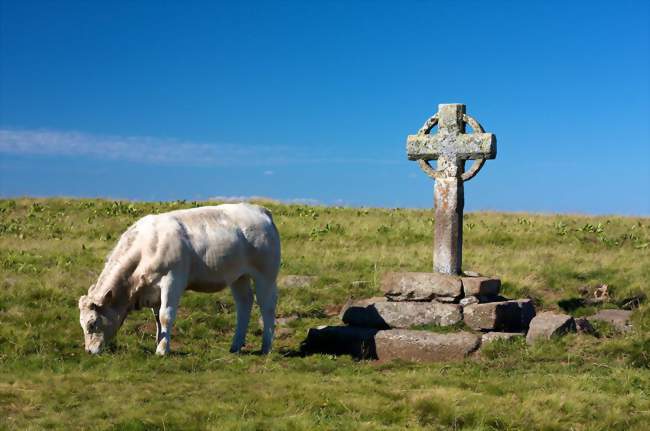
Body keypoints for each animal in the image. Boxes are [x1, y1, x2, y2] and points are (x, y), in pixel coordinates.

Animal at [77, 204, 280, 356]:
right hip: (238, 276)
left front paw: (162, 350)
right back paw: (236, 345)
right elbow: (157, 318)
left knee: (267, 306)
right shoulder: (153, 290)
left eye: (92, 323)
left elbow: (166, 315)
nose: (89, 351)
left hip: (266, 274)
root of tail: (261, 210)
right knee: (244, 303)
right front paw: (158, 342)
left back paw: (266, 347)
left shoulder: (172, 280)